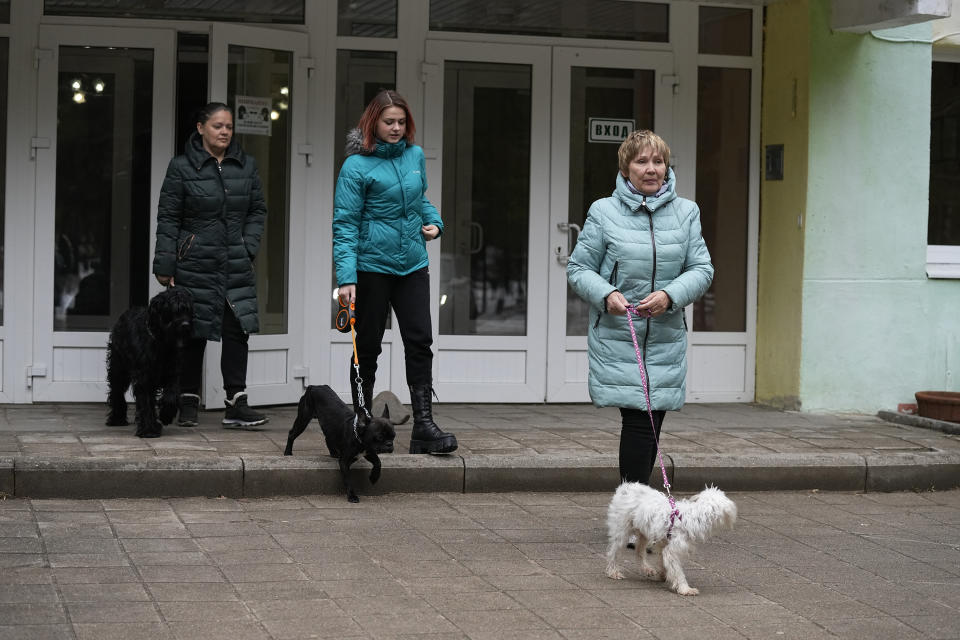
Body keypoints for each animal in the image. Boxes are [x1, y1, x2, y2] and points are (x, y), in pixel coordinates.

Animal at [106, 288, 194, 438]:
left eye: (187, 310)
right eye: (171, 310)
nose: (186, 325)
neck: (162, 344)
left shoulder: (172, 372)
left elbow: (171, 395)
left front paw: (166, 415)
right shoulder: (144, 377)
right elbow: (146, 401)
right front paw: (148, 430)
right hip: (118, 367)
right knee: (116, 391)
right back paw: (117, 419)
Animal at [604, 484, 740, 596]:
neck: (691, 518)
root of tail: (625, 487)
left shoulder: (663, 543)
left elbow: (663, 561)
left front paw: (663, 574)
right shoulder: (671, 551)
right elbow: (677, 571)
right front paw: (685, 589)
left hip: (644, 533)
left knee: (639, 552)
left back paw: (646, 568)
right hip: (621, 531)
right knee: (613, 552)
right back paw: (613, 572)